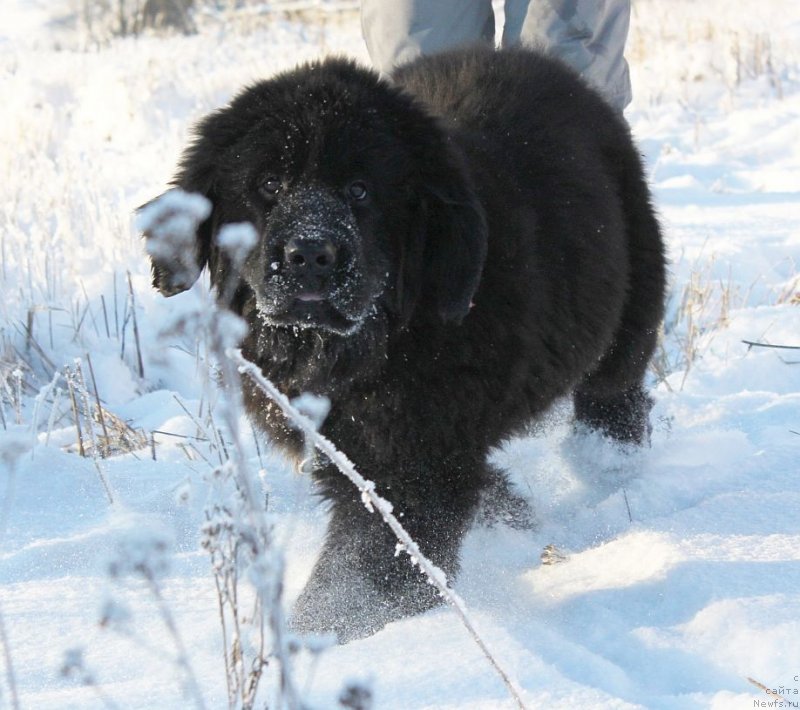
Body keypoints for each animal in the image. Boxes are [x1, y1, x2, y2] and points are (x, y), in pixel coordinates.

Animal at [142, 46, 664, 644]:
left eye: (360, 190)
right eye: (270, 184)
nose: (311, 254)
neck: (357, 349)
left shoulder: (411, 464)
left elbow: (366, 571)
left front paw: (315, 638)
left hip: (633, 300)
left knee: (615, 384)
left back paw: (610, 461)